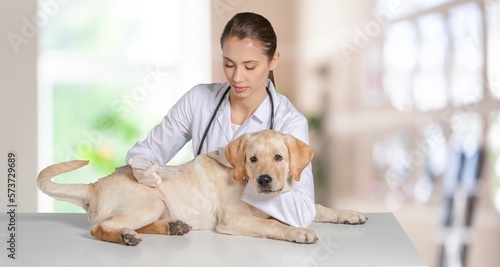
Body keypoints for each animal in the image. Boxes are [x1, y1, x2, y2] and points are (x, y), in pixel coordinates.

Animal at [38, 130, 368, 247]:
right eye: (252, 159)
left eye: (278, 157)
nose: (263, 180)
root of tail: (94, 186)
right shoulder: (232, 219)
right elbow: (272, 225)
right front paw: (297, 232)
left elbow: (319, 207)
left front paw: (349, 213)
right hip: (149, 200)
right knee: (100, 228)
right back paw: (126, 236)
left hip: (155, 206)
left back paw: (171, 227)